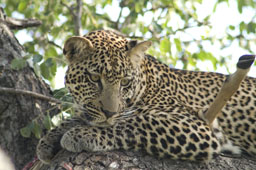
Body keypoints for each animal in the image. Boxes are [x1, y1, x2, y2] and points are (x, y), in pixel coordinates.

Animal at [36, 29, 256, 164]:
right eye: (94, 78)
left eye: (125, 82)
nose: (109, 112)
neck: (145, 85)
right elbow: (77, 118)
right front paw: (48, 141)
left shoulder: (196, 126)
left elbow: (136, 122)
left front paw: (81, 134)